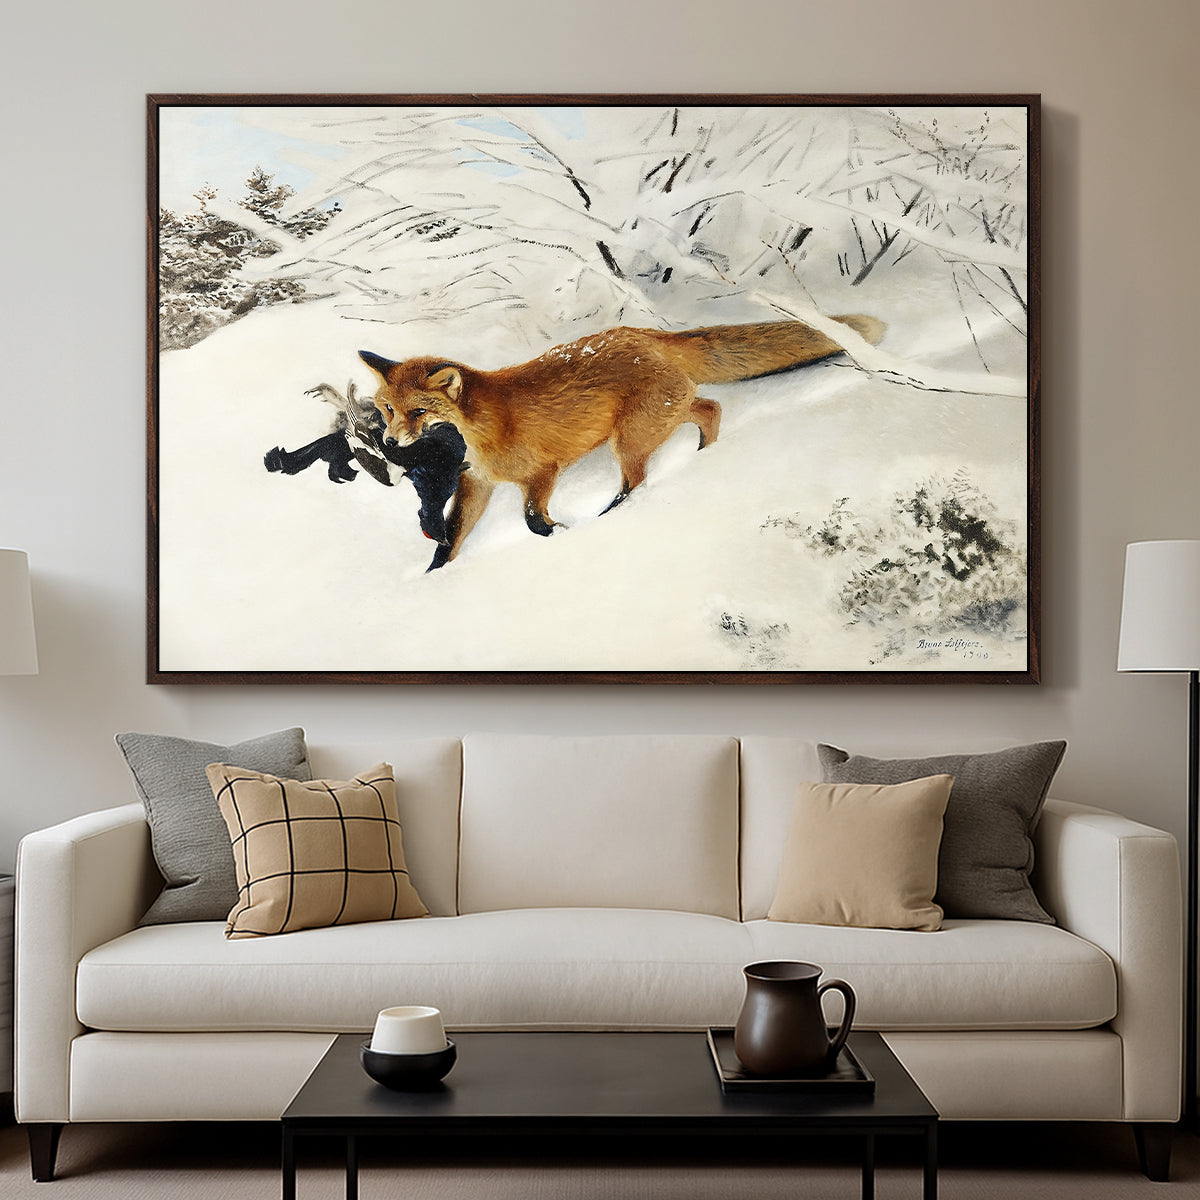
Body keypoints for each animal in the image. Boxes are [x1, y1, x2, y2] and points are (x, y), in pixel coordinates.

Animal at [360, 314, 884, 569]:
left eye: (418, 412)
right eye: (387, 408)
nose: (390, 440)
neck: (483, 429)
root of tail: (646, 334)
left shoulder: (542, 472)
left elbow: (532, 520)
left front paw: (562, 534)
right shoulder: (477, 484)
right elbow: (451, 539)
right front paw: (433, 577)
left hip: (629, 439)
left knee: (639, 480)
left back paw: (614, 514)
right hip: (658, 419)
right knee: (710, 408)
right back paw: (704, 457)